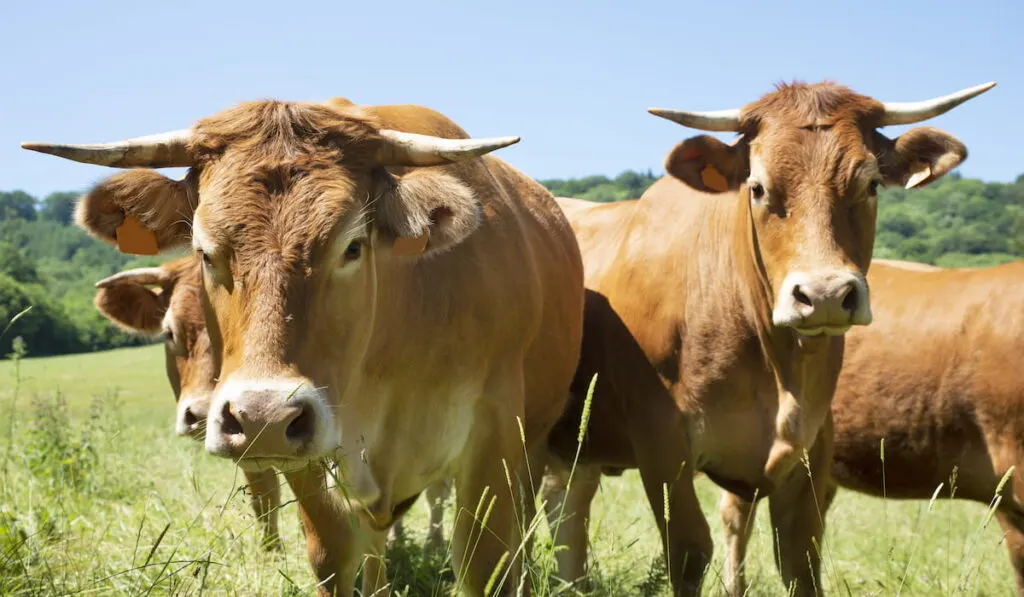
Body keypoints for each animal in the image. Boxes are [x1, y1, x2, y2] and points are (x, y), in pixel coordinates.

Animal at [25, 99, 585, 597]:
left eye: (353, 246)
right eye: (204, 251)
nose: (262, 416)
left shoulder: (495, 432)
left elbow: (485, 564)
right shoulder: (311, 447)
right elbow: (334, 553)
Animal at [540, 80, 995, 597]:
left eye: (871, 184)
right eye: (757, 187)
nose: (824, 295)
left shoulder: (810, 450)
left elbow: (800, 564)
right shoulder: (661, 441)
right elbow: (689, 553)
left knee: (566, 508)